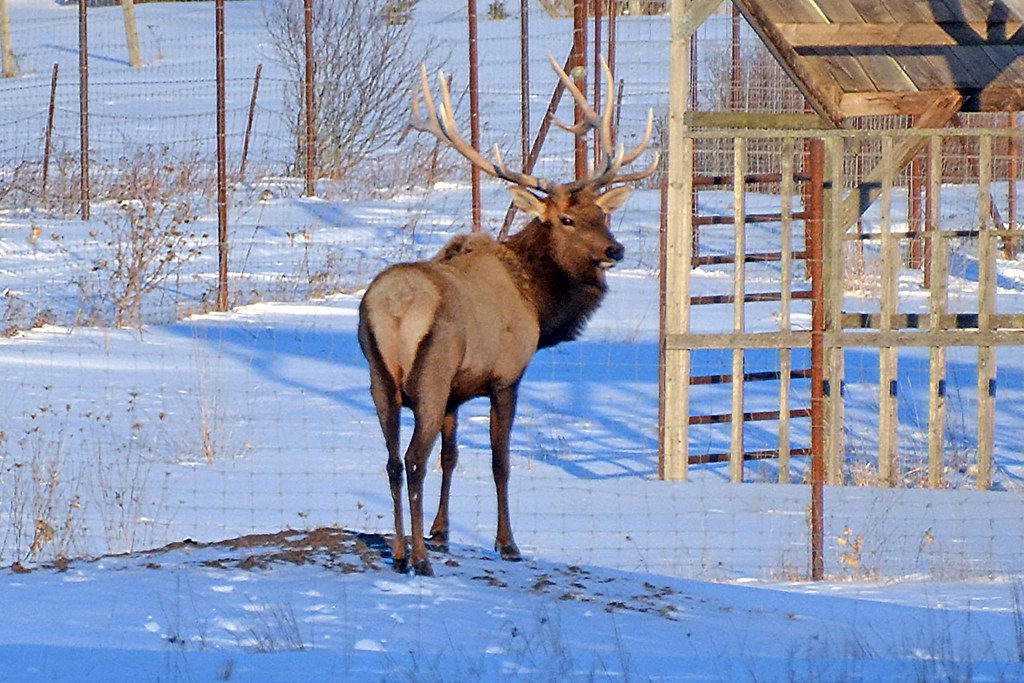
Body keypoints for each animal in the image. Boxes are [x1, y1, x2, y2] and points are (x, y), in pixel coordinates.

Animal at [357, 54, 657, 576]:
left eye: (602, 214)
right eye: (566, 219)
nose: (615, 250)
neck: (538, 302)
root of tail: (393, 309)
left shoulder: (457, 393)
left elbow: (453, 456)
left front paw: (442, 532)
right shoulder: (505, 375)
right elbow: (499, 461)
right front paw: (507, 543)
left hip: (380, 378)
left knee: (393, 460)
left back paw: (399, 552)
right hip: (431, 374)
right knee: (413, 459)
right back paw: (418, 560)